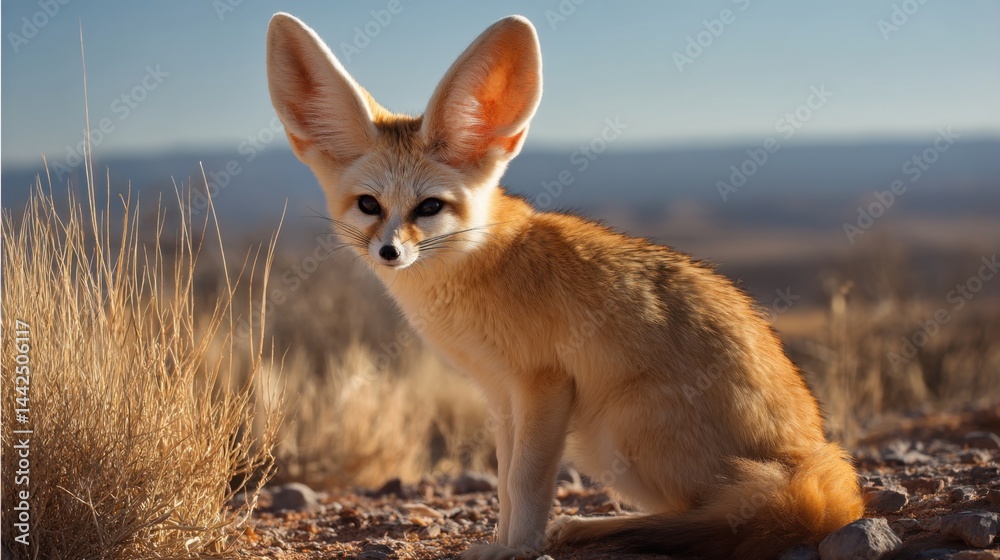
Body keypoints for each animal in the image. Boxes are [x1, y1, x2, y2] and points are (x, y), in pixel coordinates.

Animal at [265, 12, 863, 560]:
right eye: (370, 205)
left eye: (429, 207)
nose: (389, 253)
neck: (479, 264)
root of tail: (811, 463)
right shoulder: (502, 396)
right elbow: (506, 484)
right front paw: (500, 542)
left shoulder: (543, 386)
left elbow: (526, 481)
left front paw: (517, 549)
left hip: (614, 432)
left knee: (725, 518)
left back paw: (596, 530)